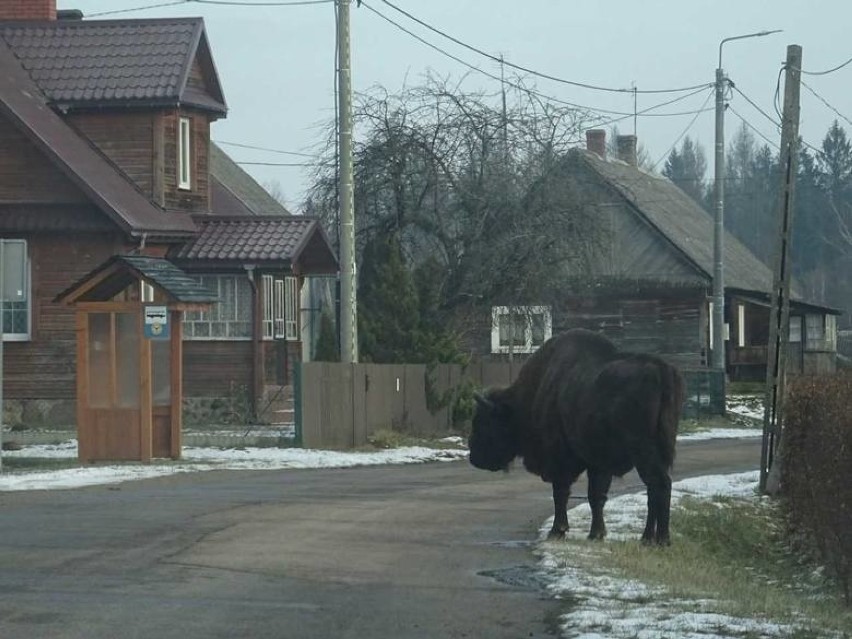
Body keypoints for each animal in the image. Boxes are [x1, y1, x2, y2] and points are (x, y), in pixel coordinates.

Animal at [470, 330, 684, 544]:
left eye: (483, 422)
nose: (473, 458)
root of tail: (661, 369)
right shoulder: (598, 464)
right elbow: (596, 496)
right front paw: (596, 533)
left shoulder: (560, 460)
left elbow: (561, 493)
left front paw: (557, 530)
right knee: (654, 488)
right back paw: (648, 538)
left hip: (643, 452)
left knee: (659, 484)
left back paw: (658, 539)